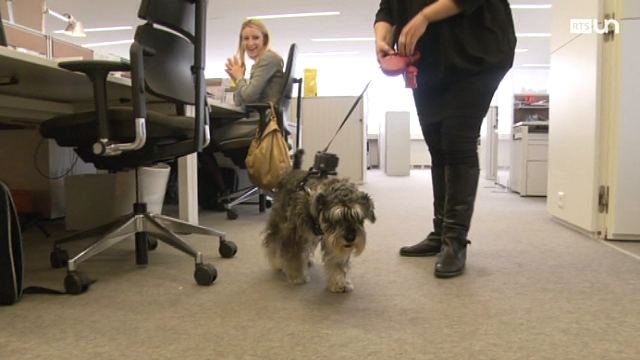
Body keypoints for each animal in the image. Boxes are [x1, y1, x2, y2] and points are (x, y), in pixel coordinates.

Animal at [262, 150, 378, 292]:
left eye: (358, 217)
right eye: (336, 217)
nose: (350, 238)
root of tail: (293, 170)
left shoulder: (333, 240)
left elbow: (337, 261)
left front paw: (339, 282)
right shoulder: (293, 234)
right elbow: (293, 255)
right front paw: (297, 276)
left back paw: (307, 260)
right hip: (279, 220)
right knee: (273, 240)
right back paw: (277, 263)